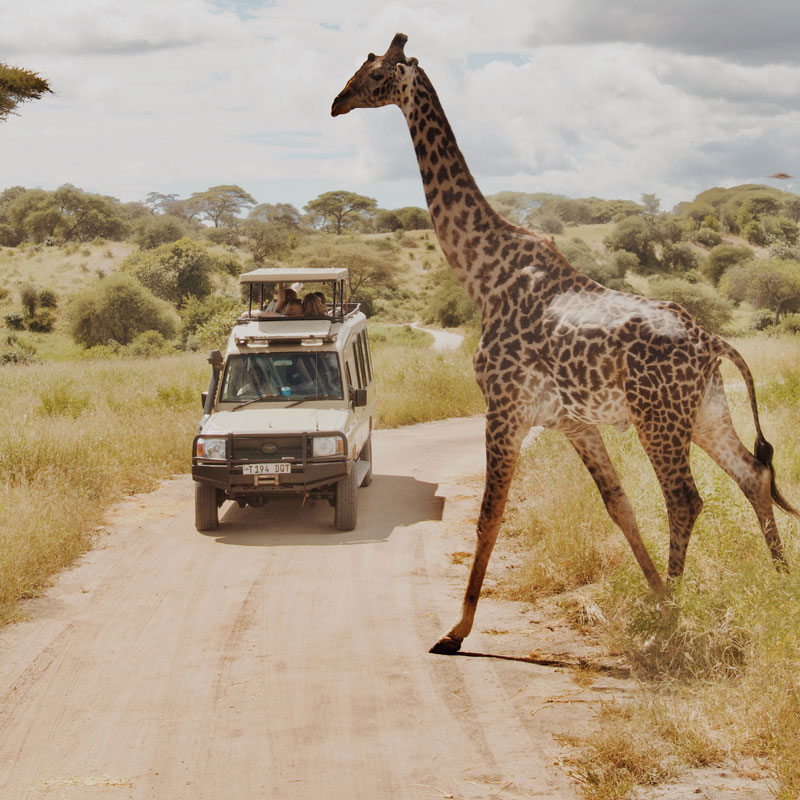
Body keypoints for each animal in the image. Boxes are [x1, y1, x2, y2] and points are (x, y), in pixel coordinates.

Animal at [332, 33, 799, 655]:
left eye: (376, 72)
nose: (336, 103)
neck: (482, 275)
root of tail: (713, 341)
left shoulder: (504, 408)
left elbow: (490, 513)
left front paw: (456, 630)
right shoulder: (573, 422)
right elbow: (619, 505)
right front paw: (658, 599)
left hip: (658, 417)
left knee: (685, 498)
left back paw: (673, 627)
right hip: (704, 410)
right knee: (752, 474)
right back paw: (780, 584)